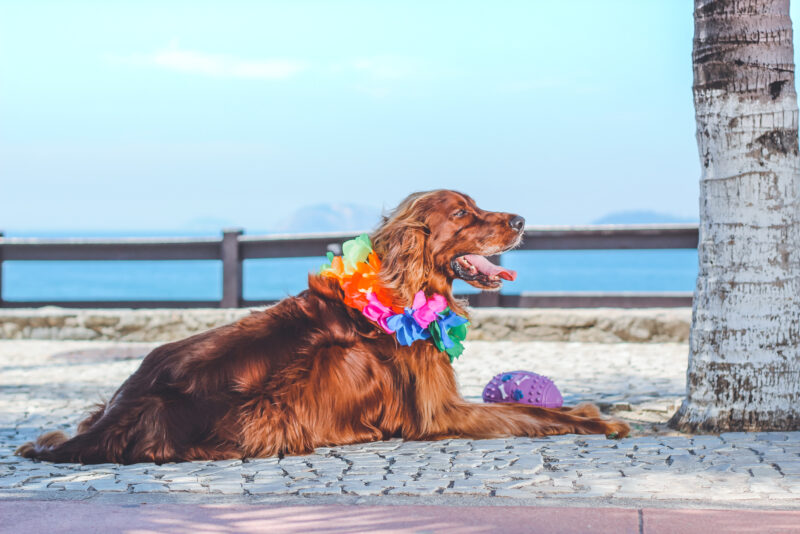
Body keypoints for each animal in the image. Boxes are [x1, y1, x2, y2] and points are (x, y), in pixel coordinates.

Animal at [18, 192, 628, 464]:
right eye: (462, 214)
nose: (522, 221)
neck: (400, 291)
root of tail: (127, 406)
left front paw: (602, 407)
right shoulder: (440, 414)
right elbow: (535, 414)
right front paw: (597, 420)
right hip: (295, 386)